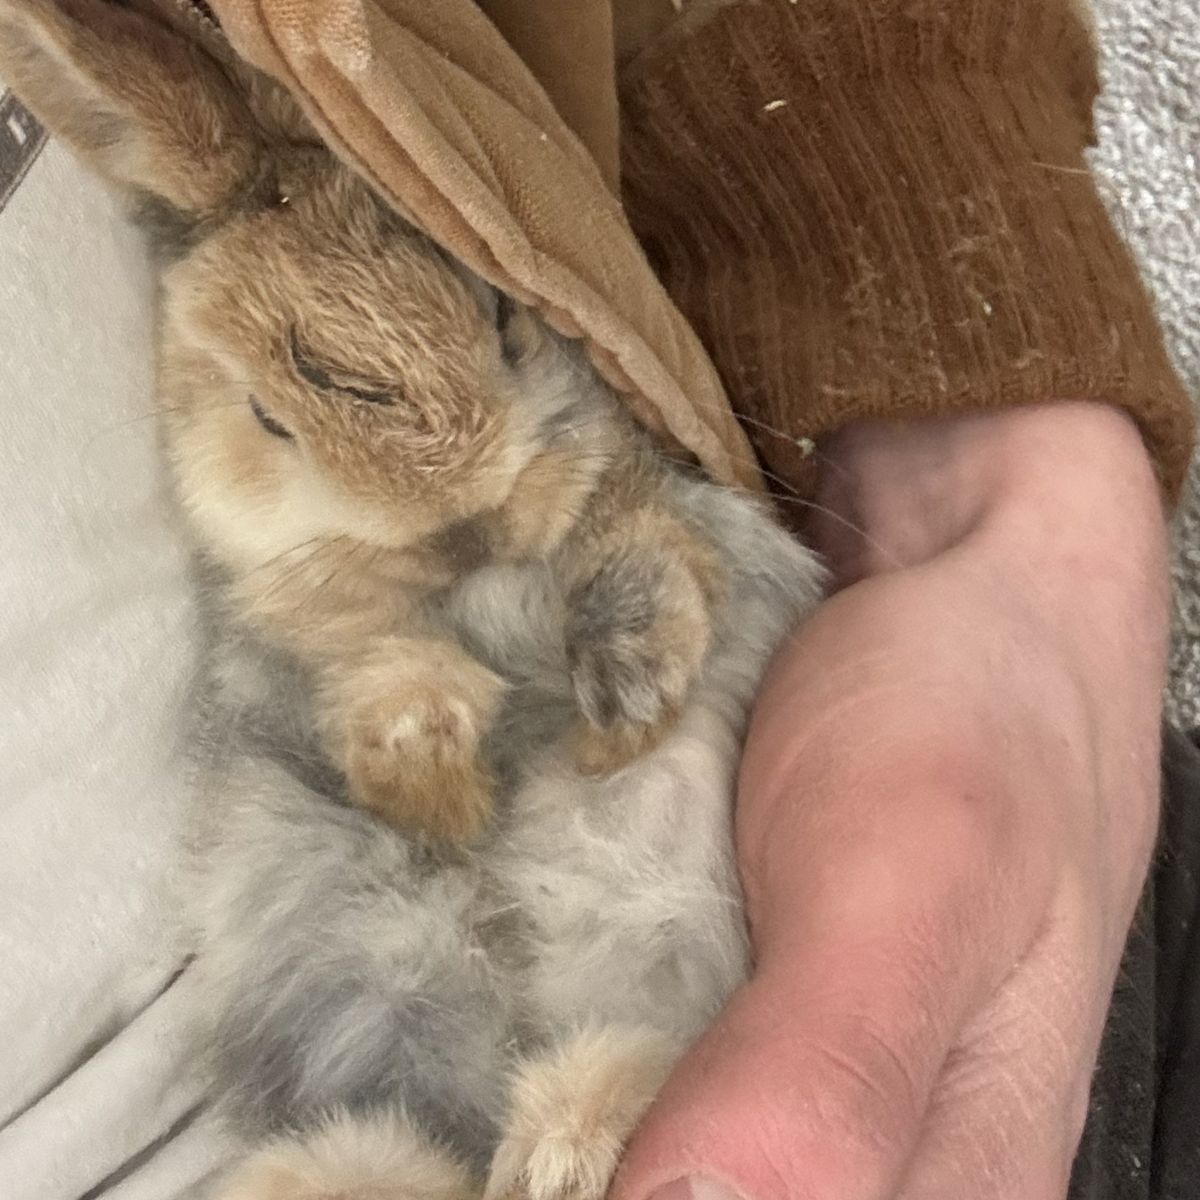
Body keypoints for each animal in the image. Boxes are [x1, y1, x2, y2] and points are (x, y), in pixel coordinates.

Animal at [0, 2, 826, 1198]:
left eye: (505, 317)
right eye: (267, 418)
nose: (463, 523)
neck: (473, 592)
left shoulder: (669, 513)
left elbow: (641, 554)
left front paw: (620, 710)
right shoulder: (317, 649)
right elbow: (381, 689)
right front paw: (435, 773)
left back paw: (563, 1145)